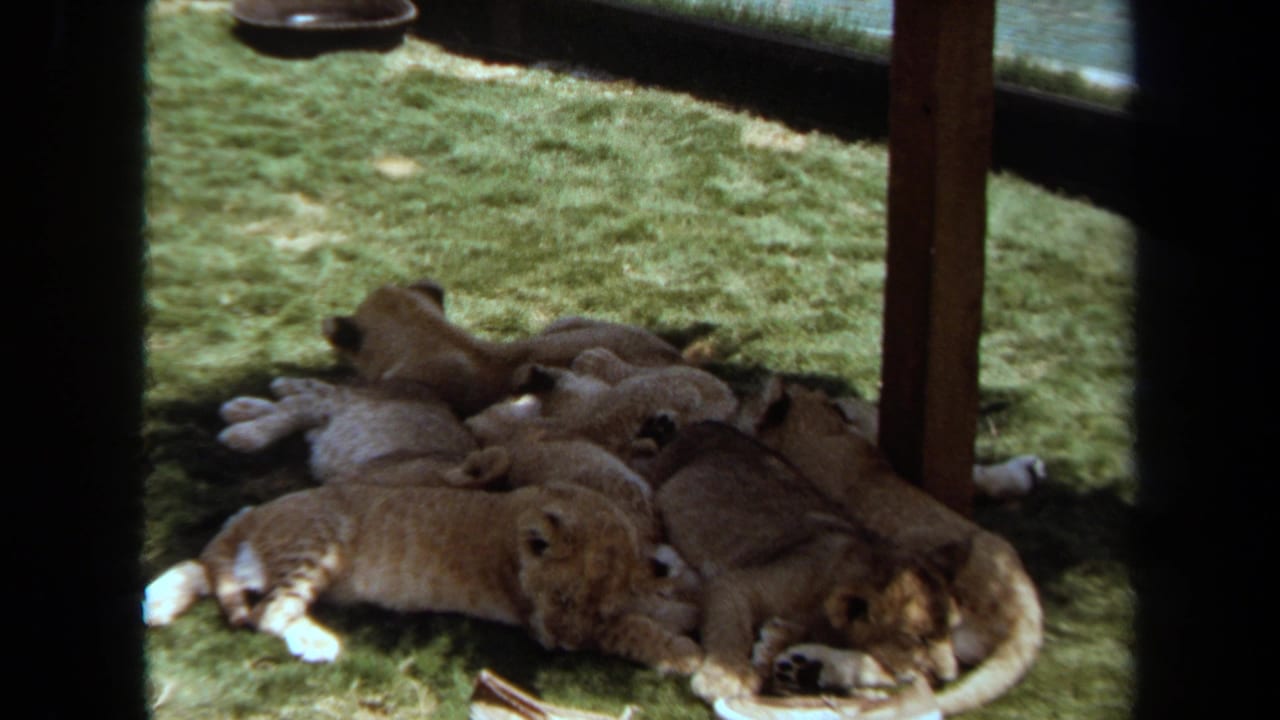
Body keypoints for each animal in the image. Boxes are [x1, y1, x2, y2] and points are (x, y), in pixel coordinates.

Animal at [142, 482, 702, 674]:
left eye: (597, 607)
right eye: (562, 598)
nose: (566, 649)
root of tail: (254, 512)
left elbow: (643, 606)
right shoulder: (533, 620)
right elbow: (635, 630)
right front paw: (687, 655)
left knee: (205, 571)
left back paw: (157, 604)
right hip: (321, 538)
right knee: (269, 612)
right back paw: (319, 642)